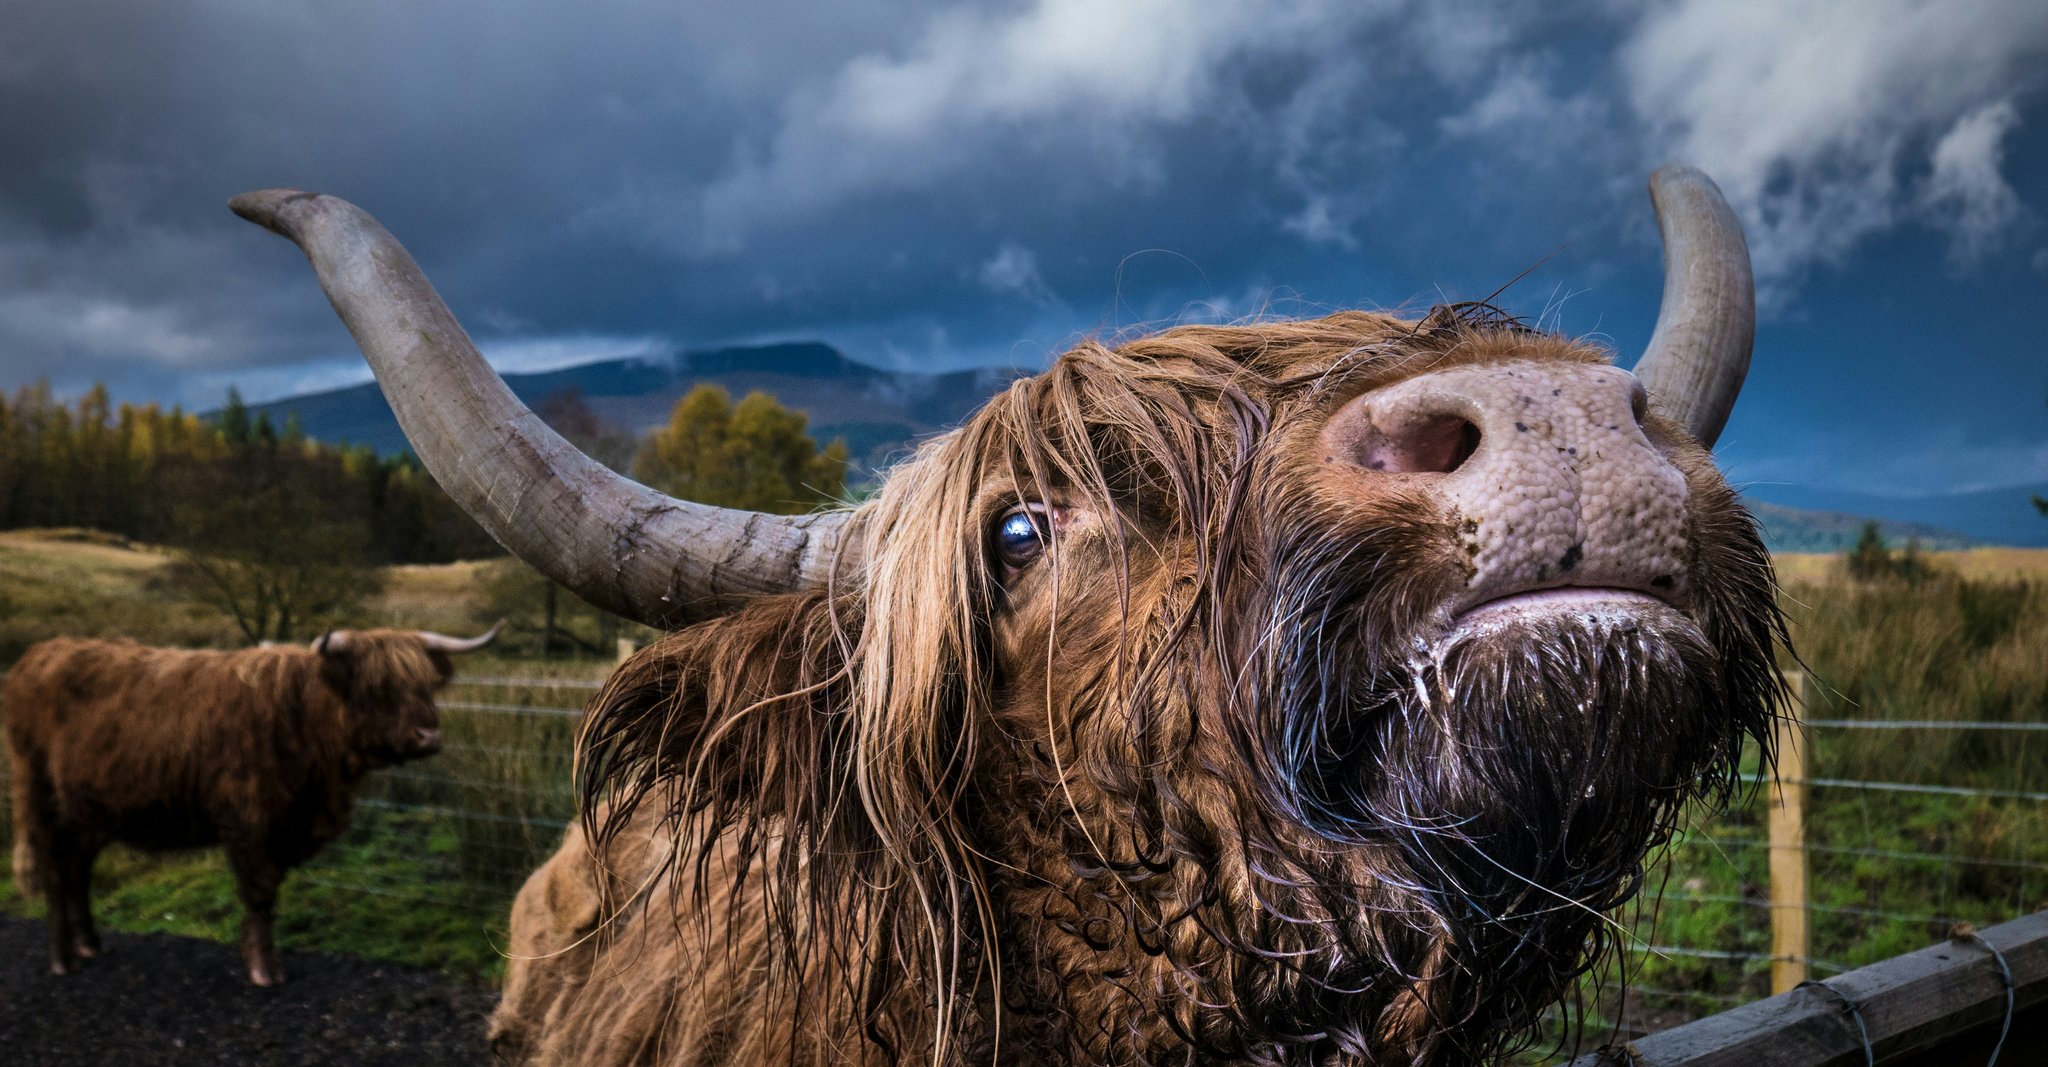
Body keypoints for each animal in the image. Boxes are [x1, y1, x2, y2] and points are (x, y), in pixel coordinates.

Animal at [3, 626, 498, 985]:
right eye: (377, 686)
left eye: (426, 685)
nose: (428, 736)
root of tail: (37, 656)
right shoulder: (248, 821)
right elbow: (259, 892)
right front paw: (264, 970)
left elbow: (270, 893)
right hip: (43, 798)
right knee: (55, 872)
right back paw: (63, 960)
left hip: (88, 813)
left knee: (77, 872)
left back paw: (89, 943)